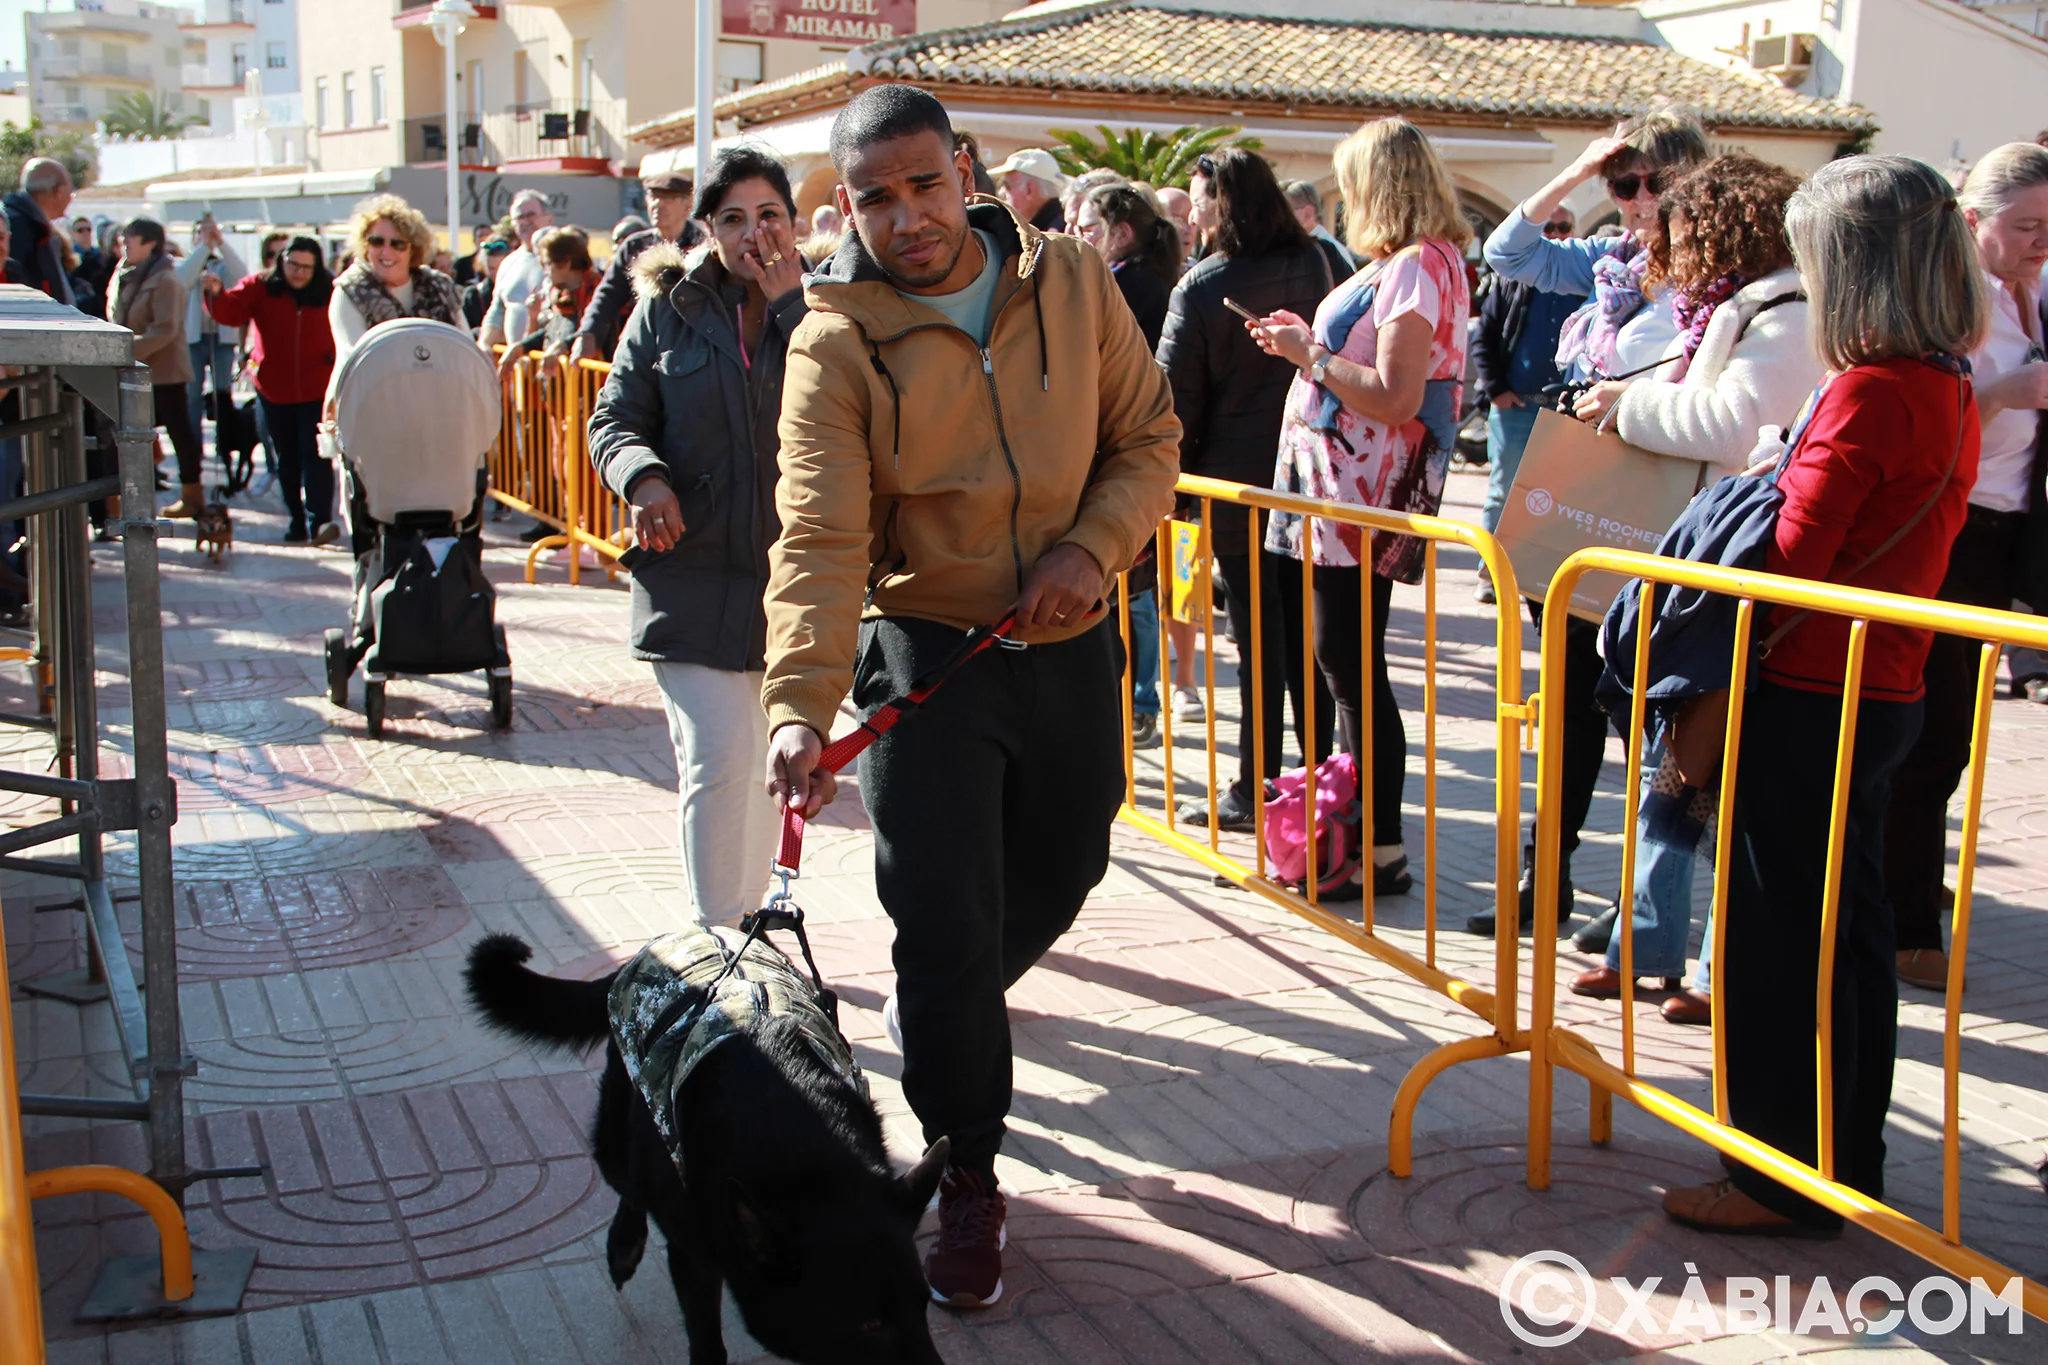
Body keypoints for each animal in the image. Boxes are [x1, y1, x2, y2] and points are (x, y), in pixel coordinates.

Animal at [468, 941, 946, 1365]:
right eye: (870, 1325)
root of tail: (657, 942)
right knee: (629, 1185)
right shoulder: (692, 1257)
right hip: (617, 1140)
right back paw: (624, 1243)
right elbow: (707, 1343)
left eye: (923, 1307)